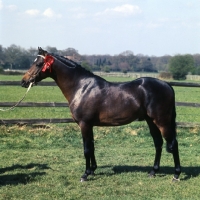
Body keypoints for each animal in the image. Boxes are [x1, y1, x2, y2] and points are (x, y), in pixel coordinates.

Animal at [20, 47, 181, 181]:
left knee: (173, 144)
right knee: (158, 143)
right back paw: (153, 171)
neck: (81, 87)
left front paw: (85, 174)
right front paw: (92, 170)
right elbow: (91, 147)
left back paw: (176, 175)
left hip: (162, 122)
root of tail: (167, 85)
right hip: (151, 121)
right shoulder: (89, 125)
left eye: (38, 64)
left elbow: (86, 149)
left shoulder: (84, 124)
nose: (23, 81)